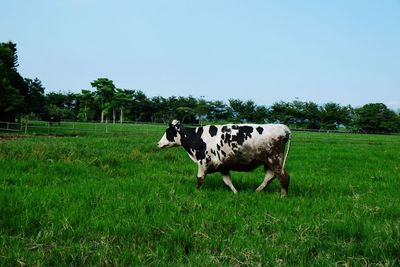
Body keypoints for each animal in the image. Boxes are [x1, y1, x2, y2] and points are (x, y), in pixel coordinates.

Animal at [158, 120, 292, 196]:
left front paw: (196, 192)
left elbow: (200, 179)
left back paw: (283, 196)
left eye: (168, 132)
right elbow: (228, 181)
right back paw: (257, 191)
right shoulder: (223, 165)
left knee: (283, 177)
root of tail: (284, 128)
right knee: (270, 177)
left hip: (275, 160)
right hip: (268, 162)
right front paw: (236, 193)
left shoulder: (203, 162)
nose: (158, 143)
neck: (197, 137)